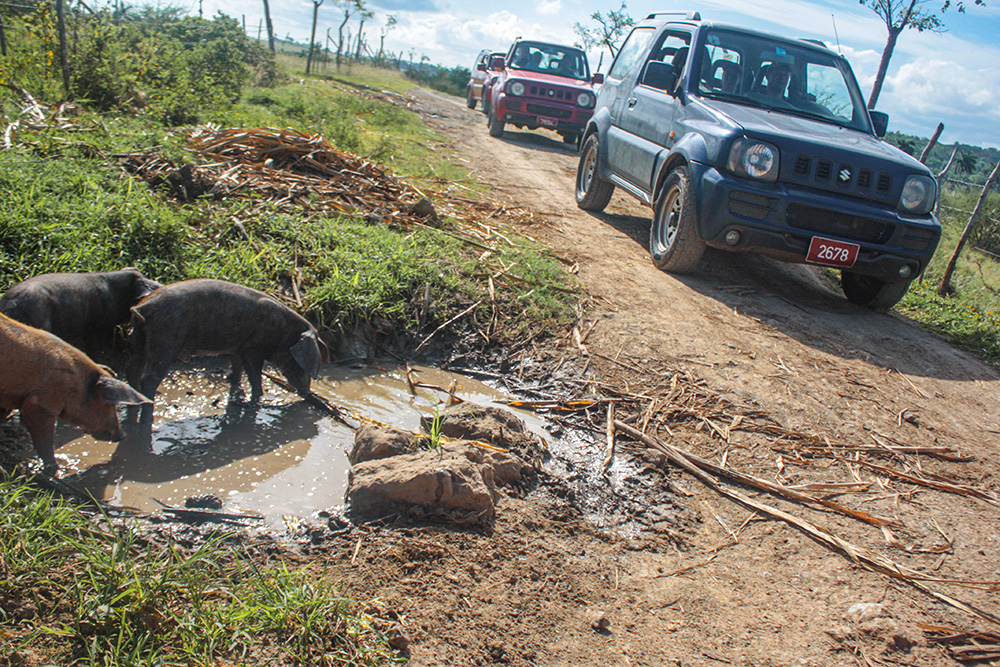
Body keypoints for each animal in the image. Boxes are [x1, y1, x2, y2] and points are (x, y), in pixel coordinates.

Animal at [0, 314, 152, 474]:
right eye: (110, 405)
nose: (122, 436)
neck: (76, 383)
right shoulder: (41, 404)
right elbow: (45, 442)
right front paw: (57, 470)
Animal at [127, 278, 330, 422]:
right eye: (301, 363)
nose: (307, 392)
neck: (283, 332)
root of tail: (143, 306)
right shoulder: (253, 349)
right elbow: (254, 375)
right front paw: (257, 398)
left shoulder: (238, 346)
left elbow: (237, 366)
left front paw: (231, 381)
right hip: (165, 342)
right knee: (148, 380)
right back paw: (147, 415)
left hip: (139, 340)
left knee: (133, 373)